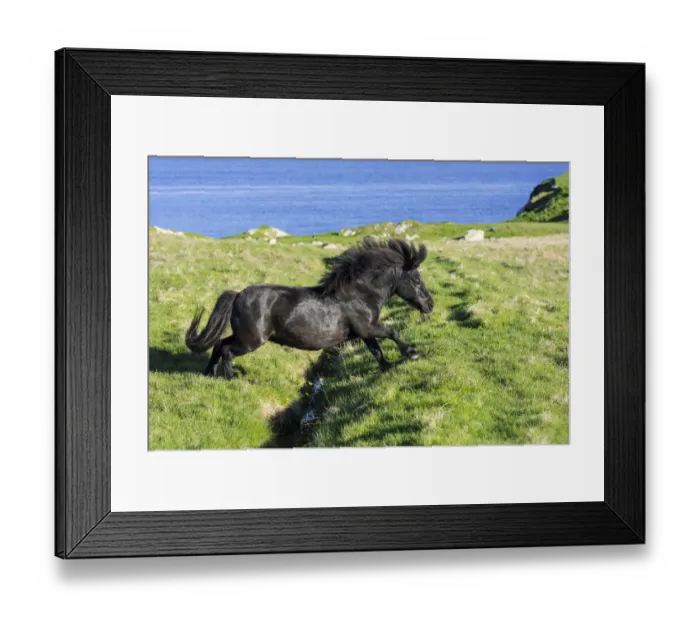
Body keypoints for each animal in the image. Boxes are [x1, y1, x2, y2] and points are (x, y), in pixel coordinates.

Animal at [185, 238, 434, 379]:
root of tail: (237, 295)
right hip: (251, 341)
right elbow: (392, 332)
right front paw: (411, 353)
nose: (430, 305)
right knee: (226, 351)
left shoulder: (364, 333)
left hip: (243, 336)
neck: (360, 295)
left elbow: (377, 351)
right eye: (416, 280)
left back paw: (209, 373)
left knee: (219, 344)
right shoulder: (368, 327)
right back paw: (230, 379)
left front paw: (386, 367)